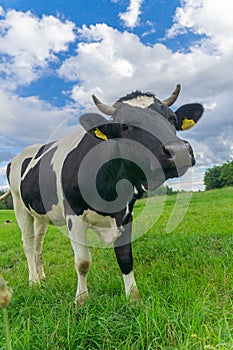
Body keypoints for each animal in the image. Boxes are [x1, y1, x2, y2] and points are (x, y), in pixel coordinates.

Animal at [0, 84, 204, 304]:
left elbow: (125, 257)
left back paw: (42, 276)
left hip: (41, 213)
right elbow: (82, 262)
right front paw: (81, 299)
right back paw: (34, 281)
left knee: (38, 242)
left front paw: (133, 297)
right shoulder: (73, 215)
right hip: (20, 206)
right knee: (28, 243)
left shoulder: (126, 214)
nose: (179, 151)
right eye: (125, 126)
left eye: (172, 119)